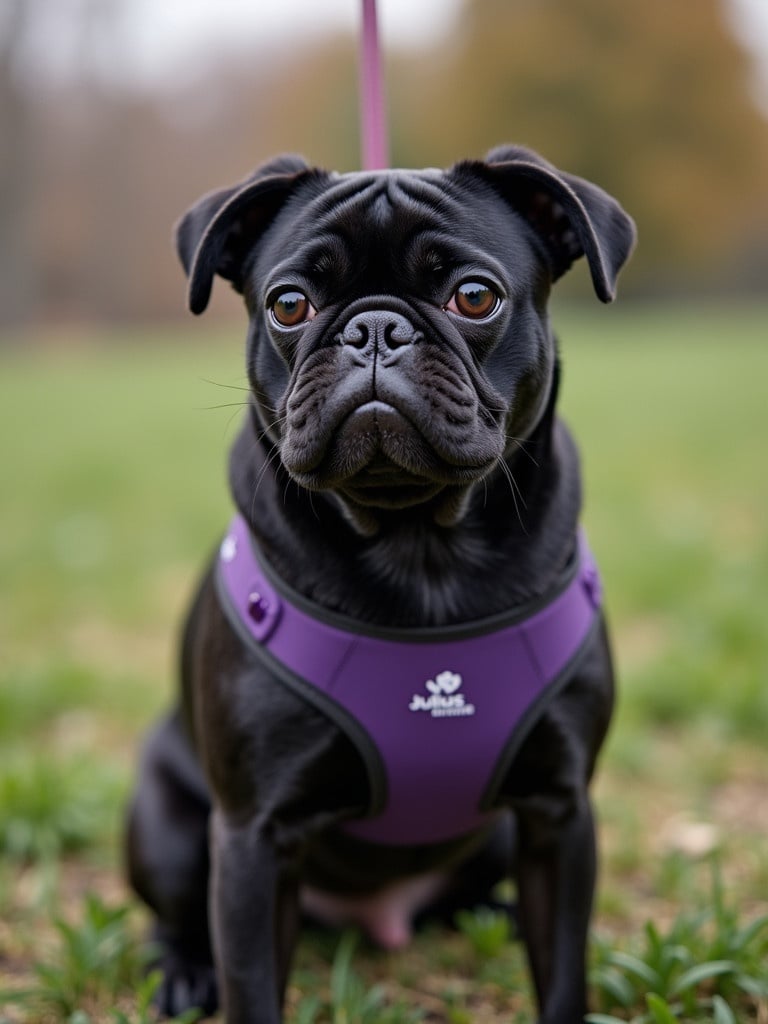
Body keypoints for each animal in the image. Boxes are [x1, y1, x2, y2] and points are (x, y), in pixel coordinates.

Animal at [128, 146, 638, 1024]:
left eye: (474, 295)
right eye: (289, 305)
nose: (374, 327)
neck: (420, 548)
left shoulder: (559, 816)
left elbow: (564, 973)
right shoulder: (254, 838)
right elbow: (253, 985)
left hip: (500, 836)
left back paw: (490, 916)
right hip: (167, 825)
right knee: (178, 914)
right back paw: (186, 971)